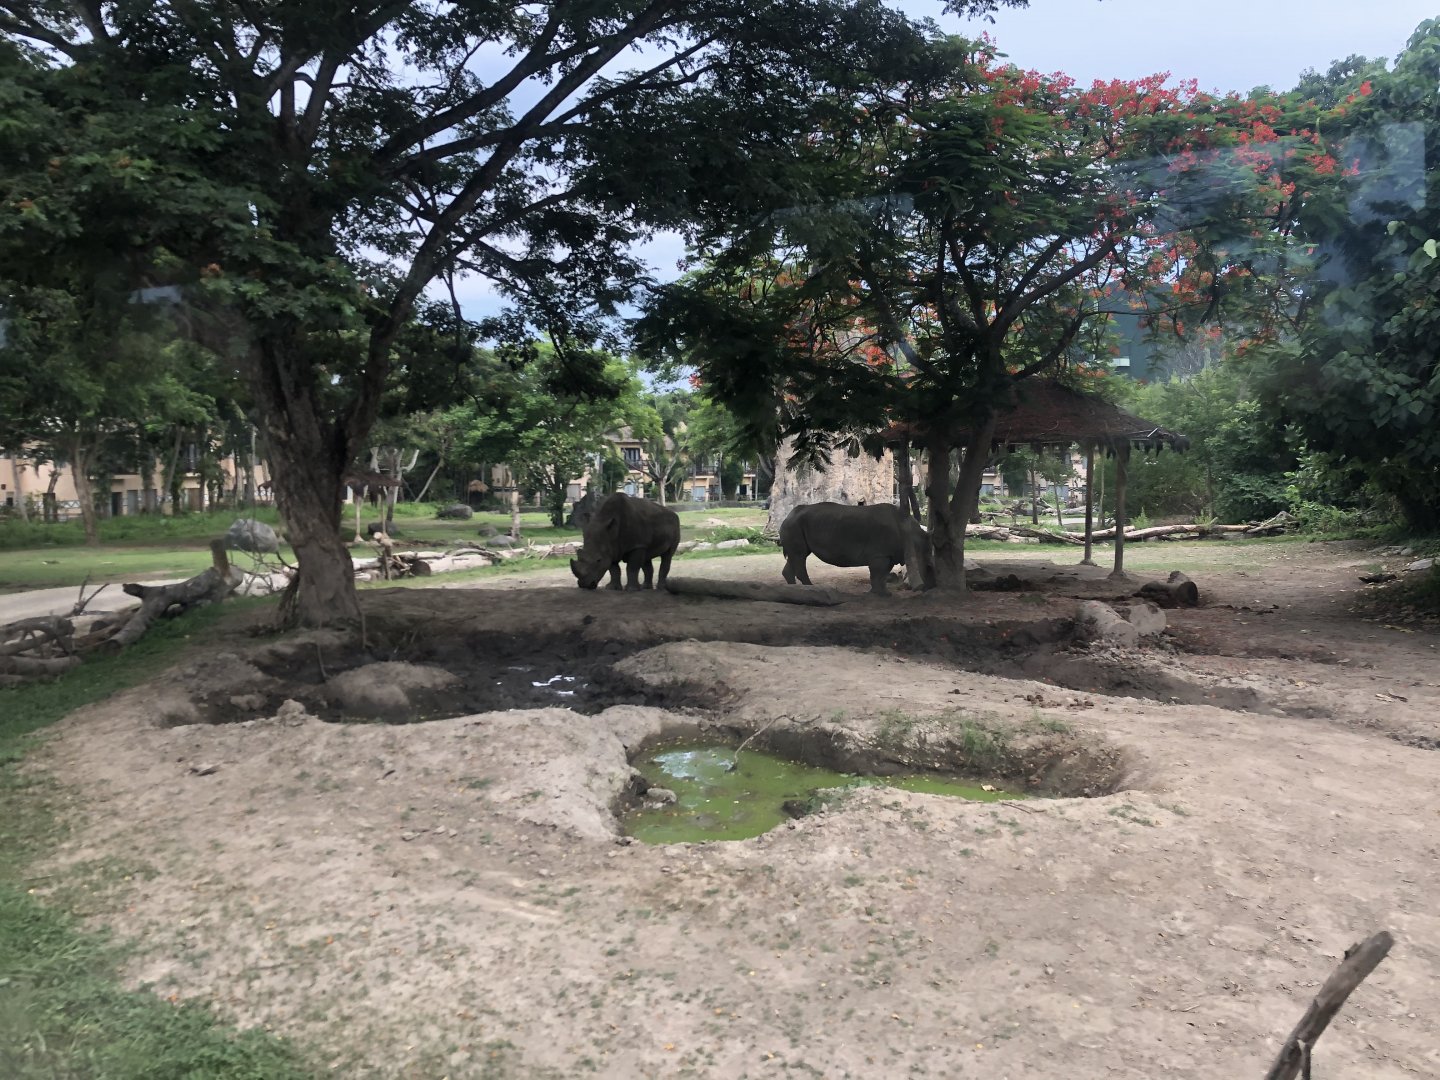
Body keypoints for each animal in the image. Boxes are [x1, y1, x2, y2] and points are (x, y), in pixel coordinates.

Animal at [780, 501, 935, 596]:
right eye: (927, 567)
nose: (928, 588)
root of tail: (787, 516)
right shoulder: (880, 554)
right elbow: (878, 573)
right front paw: (883, 595)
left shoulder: (888, 554)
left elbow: (882, 574)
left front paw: (880, 592)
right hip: (794, 525)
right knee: (799, 556)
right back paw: (810, 588)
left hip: (796, 524)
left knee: (797, 556)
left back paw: (793, 590)